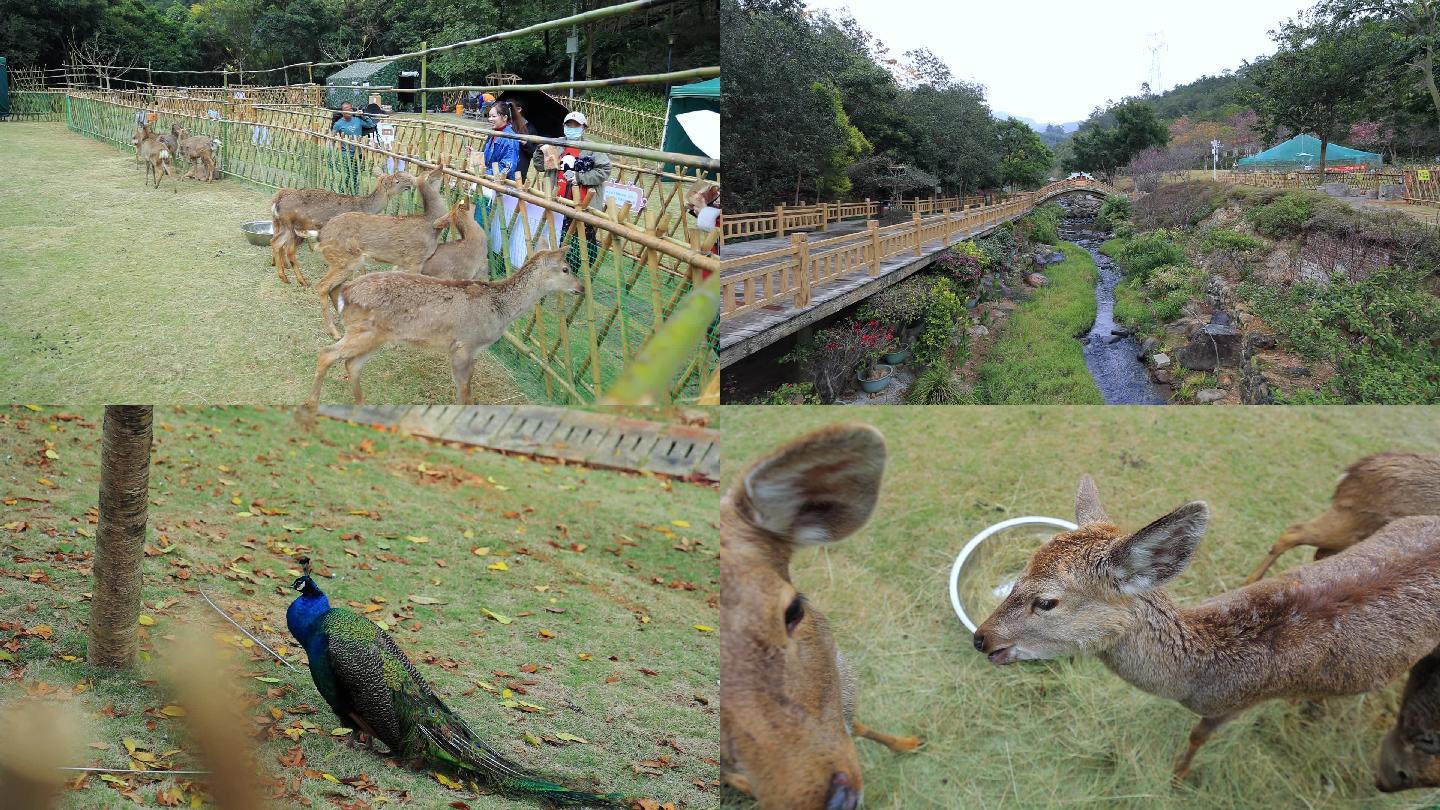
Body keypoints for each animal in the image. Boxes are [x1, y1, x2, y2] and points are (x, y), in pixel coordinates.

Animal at [306, 246, 581, 406]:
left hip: (376, 336)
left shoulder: (472, 351)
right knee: (326, 354)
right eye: (566, 268)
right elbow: (464, 393)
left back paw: (361, 405)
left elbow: (466, 389)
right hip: (364, 331)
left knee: (351, 364)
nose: (581, 287)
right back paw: (312, 402)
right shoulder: (464, 344)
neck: (499, 310)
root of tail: (345, 294)